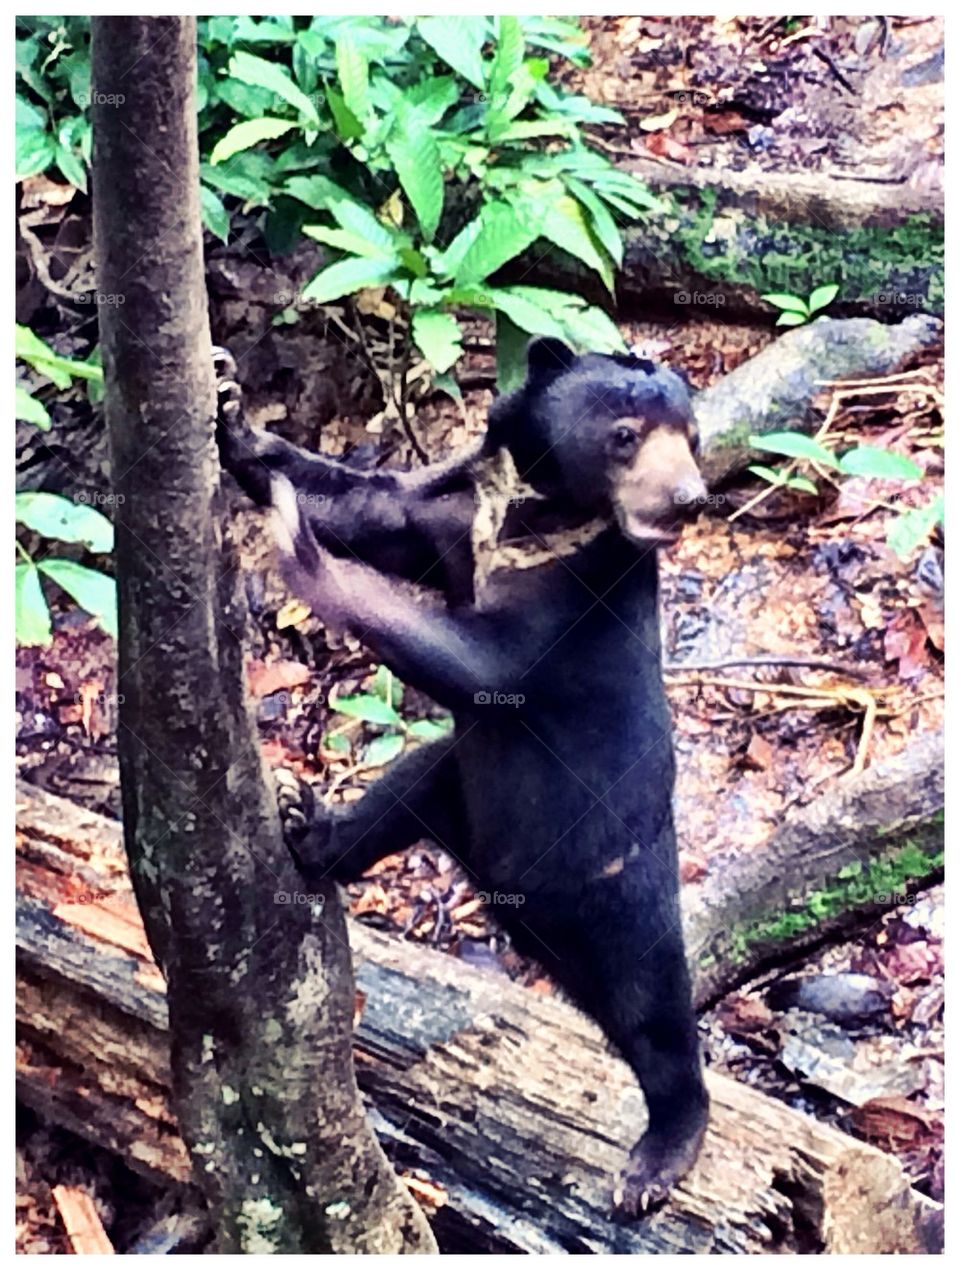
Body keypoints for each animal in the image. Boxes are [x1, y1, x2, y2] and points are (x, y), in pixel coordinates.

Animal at [256, 337, 710, 1216]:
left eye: (694, 438)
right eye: (627, 434)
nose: (689, 500)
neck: (534, 514)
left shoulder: (579, 600)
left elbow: (481, 663)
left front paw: (302, 555)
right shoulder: (451, 515)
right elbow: (373, 512)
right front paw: (238, 420)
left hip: (619, 891)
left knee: (654, 1015)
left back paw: (659, 1158)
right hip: (458, 792)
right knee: (401, 792)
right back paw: (308, 825)